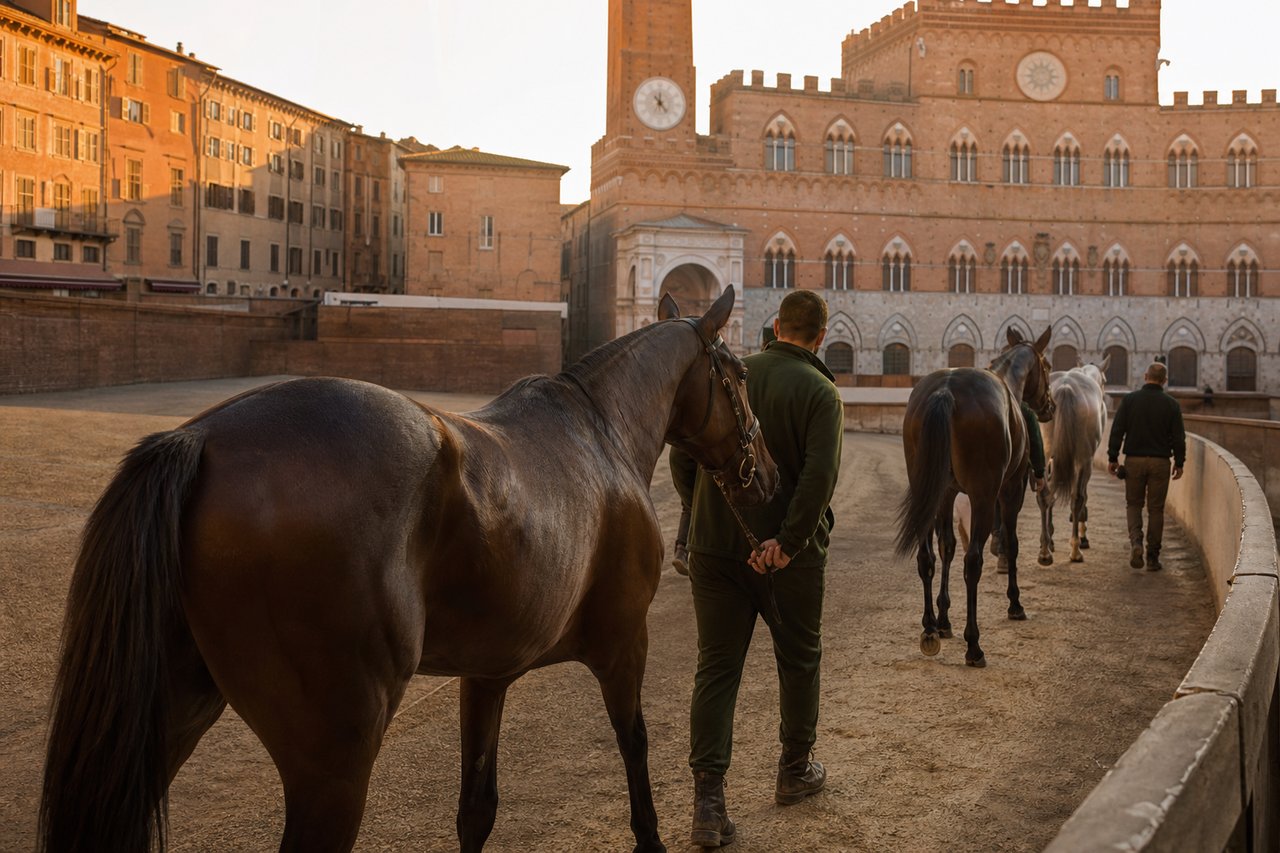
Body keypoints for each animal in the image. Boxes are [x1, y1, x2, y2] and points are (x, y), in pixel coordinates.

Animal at [38, 285, 778, 853]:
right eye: (741, 376)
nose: (767, 472)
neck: (600, 433)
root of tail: (200, 437)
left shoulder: (488, 672)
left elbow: (476, 808)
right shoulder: (625, 642)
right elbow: (636, 746)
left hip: (174, 710)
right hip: (334, 753)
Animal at [894, 327, 1054, 667]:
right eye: (1047, 365)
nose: (1050, 407)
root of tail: (945, 392)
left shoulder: (946, 492)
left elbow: (947, 547)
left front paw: (943, 619)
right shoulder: (1010, 490)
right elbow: (1011, 542)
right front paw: (1015, 603)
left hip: (926, 487)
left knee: (927, 555)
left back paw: (929, 627)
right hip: (984, 494)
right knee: (973, 562)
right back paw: (974, 645)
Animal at [1036, 358, 1109, 566]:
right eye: (1105, 380)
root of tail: (1066, 387)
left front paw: (1049, 539)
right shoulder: (1085, 460)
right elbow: (1082, 496)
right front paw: (1083, 536)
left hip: (1045, 453)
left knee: (1044, 495)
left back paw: (1045, 553)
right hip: (1084, 458)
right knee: (1077, 498)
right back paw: (1076, 549)